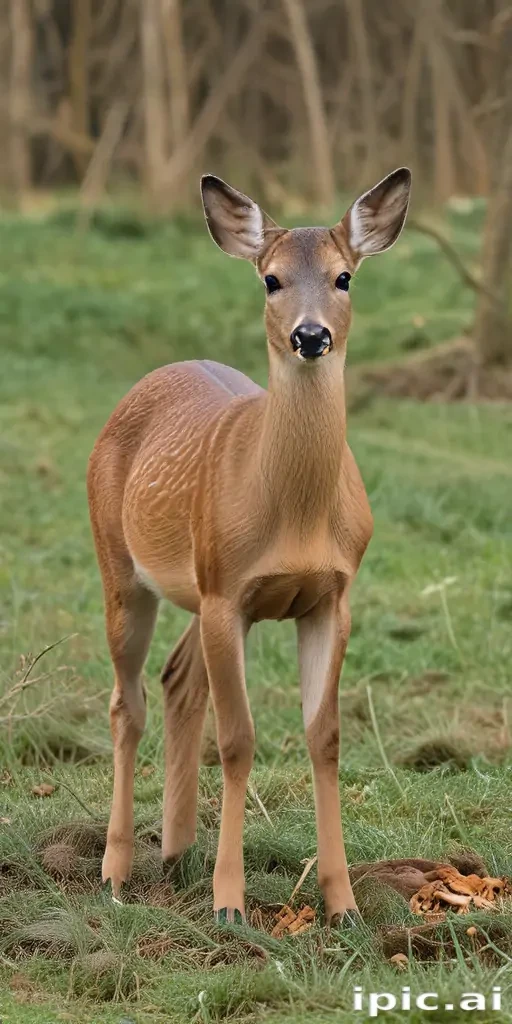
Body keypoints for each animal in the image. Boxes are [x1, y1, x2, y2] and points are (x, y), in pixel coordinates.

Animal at [87, 167, 411, 926]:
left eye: (344, 276)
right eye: (270, 279)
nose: (310, 335)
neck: (294, 519)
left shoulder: (330, 596)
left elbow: (325, 737)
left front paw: (343, 904)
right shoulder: (227, 592)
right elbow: (237, 742)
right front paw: (230, 904)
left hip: (197, 590)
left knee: (178, 679)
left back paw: (176, 853)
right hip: (124, 566)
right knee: (126, 701)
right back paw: (117, 869)